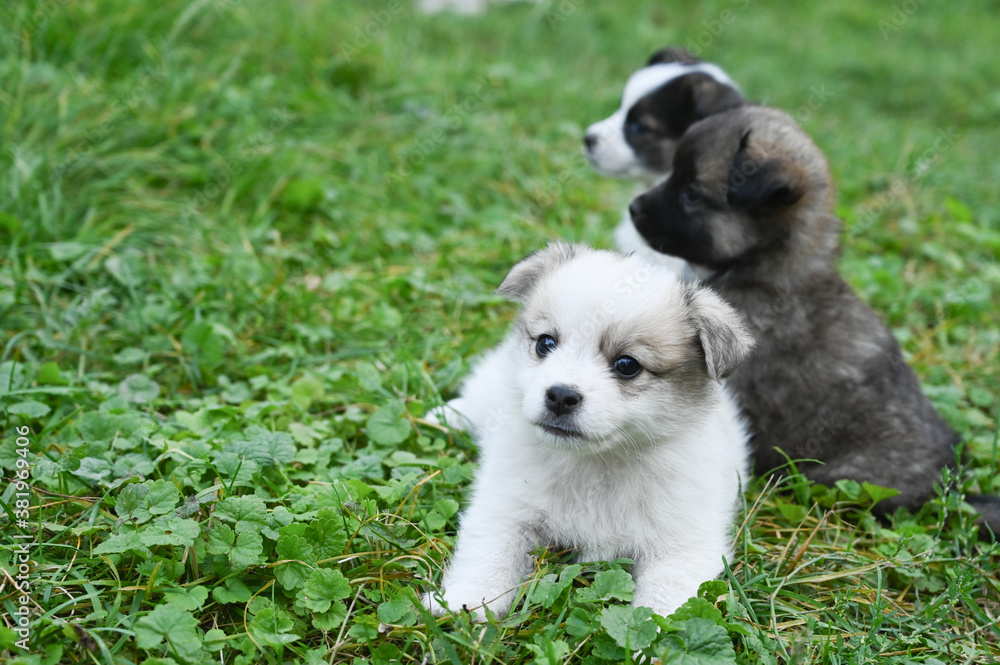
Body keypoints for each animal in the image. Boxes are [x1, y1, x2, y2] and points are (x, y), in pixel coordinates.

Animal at [426, 243, 752, 616]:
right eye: (545, 343)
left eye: (627, 365)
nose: (560, 395)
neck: (596, 463)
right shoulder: (506, 507)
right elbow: (488, 555)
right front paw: (462, 603)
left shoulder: (683, 543)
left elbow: (667, 602)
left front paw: (655, 631)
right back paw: (443, 416)